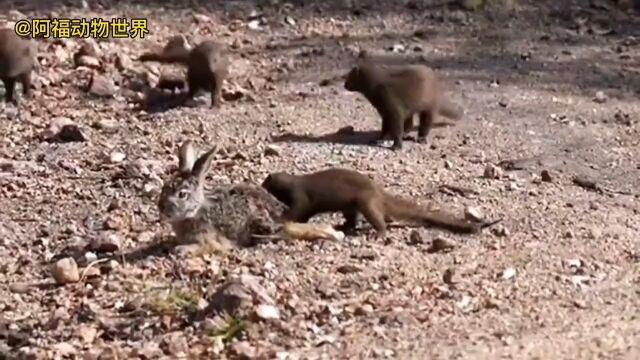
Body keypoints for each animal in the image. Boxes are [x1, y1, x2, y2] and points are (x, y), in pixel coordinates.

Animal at [159, 141, 288, 256]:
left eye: (182, 194)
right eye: (164, 187)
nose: (161, 207)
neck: (195, 211)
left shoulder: (210, 239)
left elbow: (204, 246)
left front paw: (181, 249)